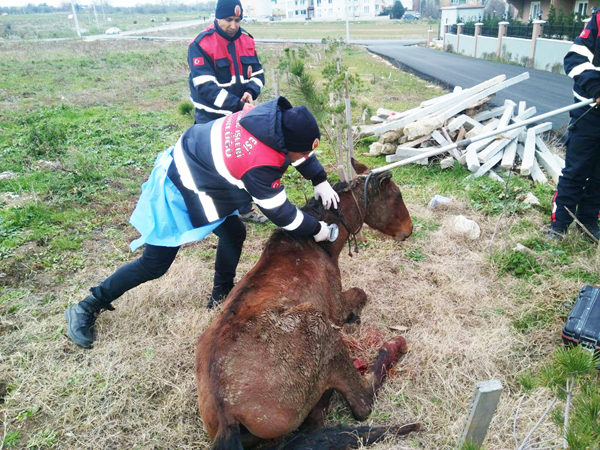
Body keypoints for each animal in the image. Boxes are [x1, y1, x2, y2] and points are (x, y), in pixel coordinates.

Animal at [195, 160, 420, 448]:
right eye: (397, 195)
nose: (408, 230)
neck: (315, 245)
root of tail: (227, 417)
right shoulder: (337, 307)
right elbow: (361, 294)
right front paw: (356, 317)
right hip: (320, 328)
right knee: (361, 402)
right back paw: (395, 345)